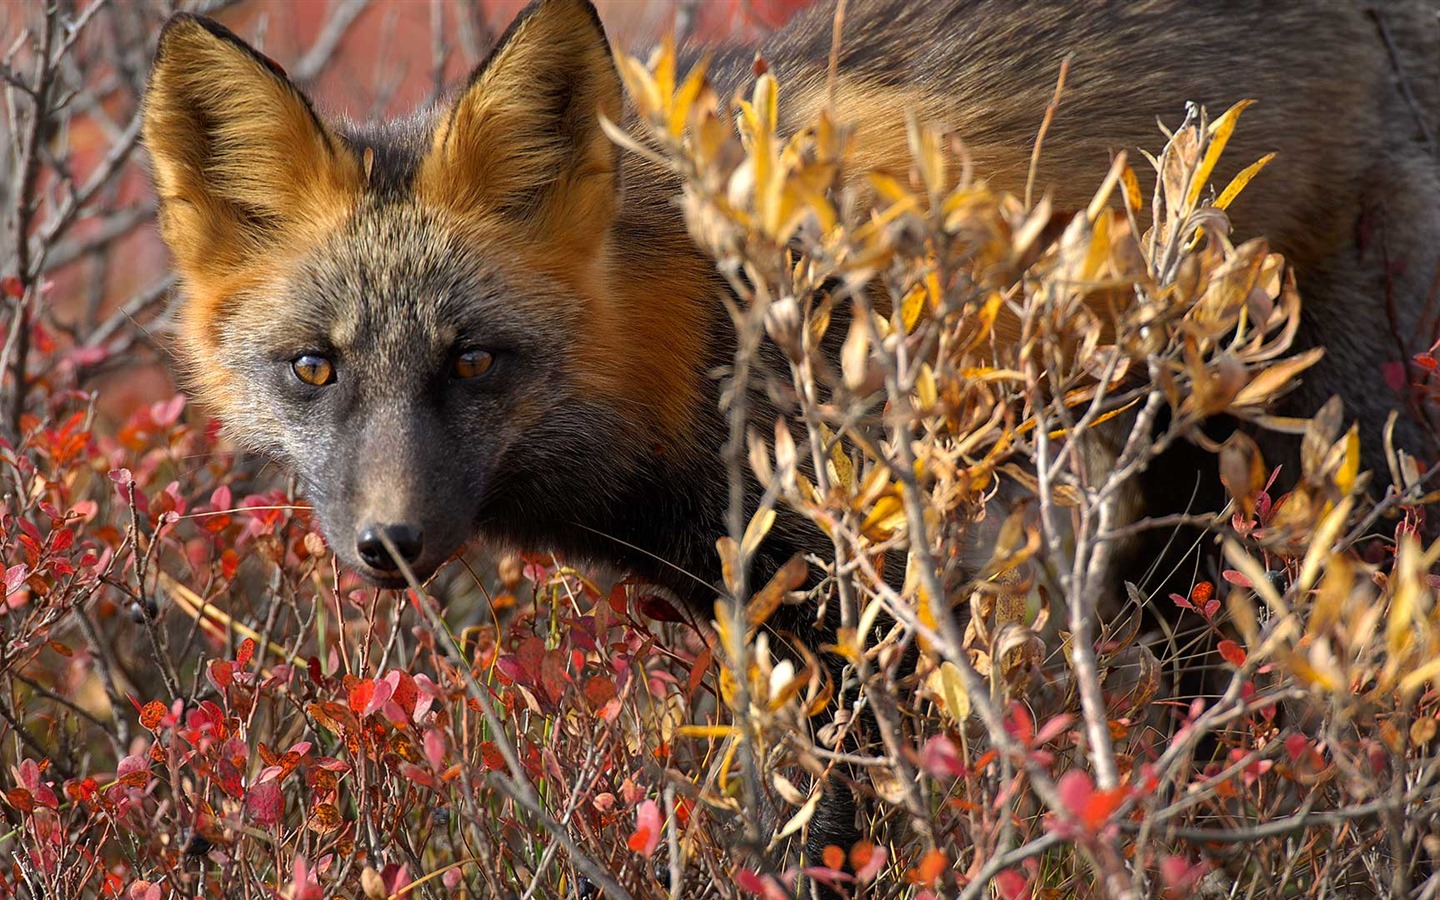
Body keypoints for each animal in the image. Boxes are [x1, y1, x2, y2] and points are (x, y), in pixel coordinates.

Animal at [143, 0, 1440, 875]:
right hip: (1170, 538)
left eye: (472, 362)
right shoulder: (766, 615)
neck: (688, 336)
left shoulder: (856, 609)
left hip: (1353, 483)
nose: (391, 544)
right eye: (314, 369)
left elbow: (833, 835)